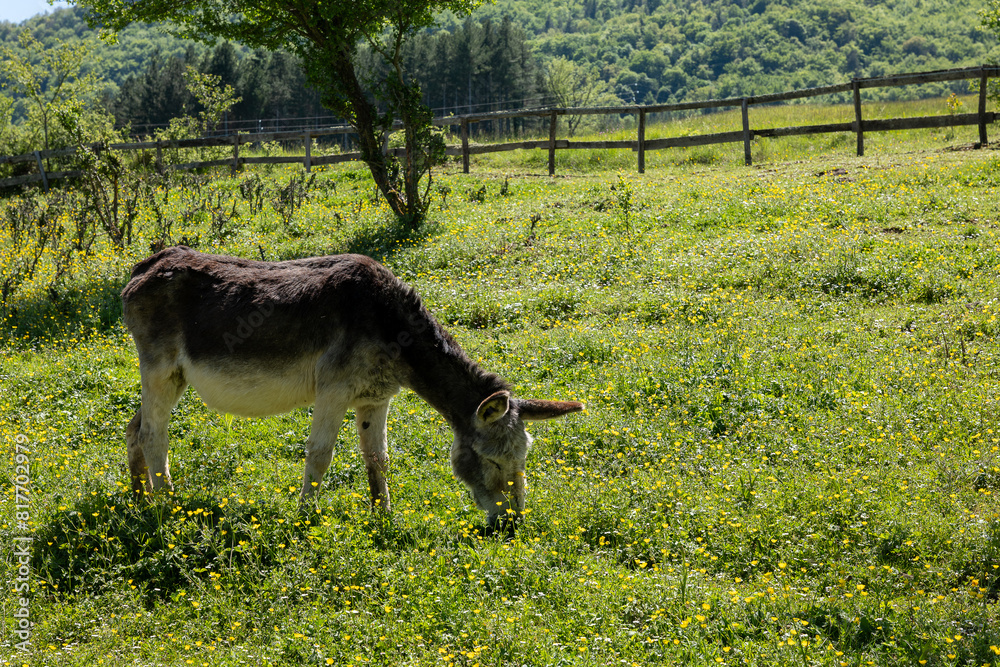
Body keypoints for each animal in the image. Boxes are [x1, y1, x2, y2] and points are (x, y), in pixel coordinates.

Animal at [121, 246, 583, 532]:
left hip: (175, 378)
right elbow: (320, 454)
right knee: (154, 433)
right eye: (491, 460)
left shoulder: (375, 397)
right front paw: (305, 517)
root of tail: (144, 267)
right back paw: (169, 506)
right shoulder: (333, 390)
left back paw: (139, 499)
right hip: (159, 368)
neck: (394, 330)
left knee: (134, 428)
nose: (512, 524)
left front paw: (383, 516)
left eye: (524, 459)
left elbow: (378, 458)